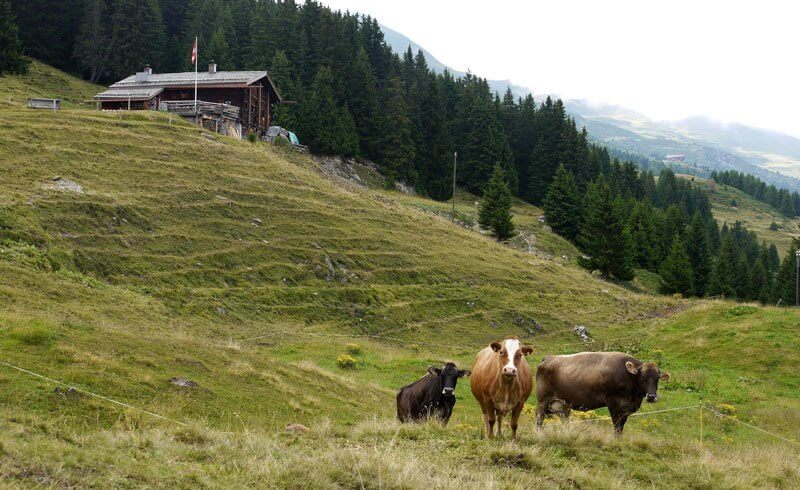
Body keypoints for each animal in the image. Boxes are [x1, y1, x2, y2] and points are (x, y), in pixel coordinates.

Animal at [536, 352, 668, 432]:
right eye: (642, 377)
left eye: (657, 378)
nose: (651, 396)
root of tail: (549, 357)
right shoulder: (613, 403)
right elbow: (617, 426)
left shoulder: (625, 409)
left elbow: (622, 426)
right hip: (543, 400)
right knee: (539, 418)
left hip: (562, 405)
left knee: (564, 420)